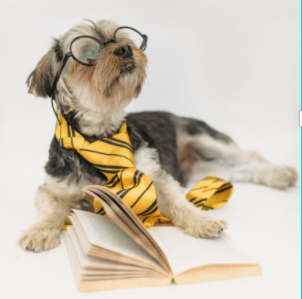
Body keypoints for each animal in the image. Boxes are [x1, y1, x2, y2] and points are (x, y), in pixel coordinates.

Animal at [19, 19, 298, 253]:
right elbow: (49, 209)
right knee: (237, 171)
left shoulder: (157, 176)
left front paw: (201, 221)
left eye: (122, 37)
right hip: (198, 171)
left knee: (248, 156)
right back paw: (278, 176)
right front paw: (40, 231)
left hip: (204, 138)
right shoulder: (53, 187)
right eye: (88, 54)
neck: (102, 136)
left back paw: (282, 171)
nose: (125, 49)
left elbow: (178, 203)